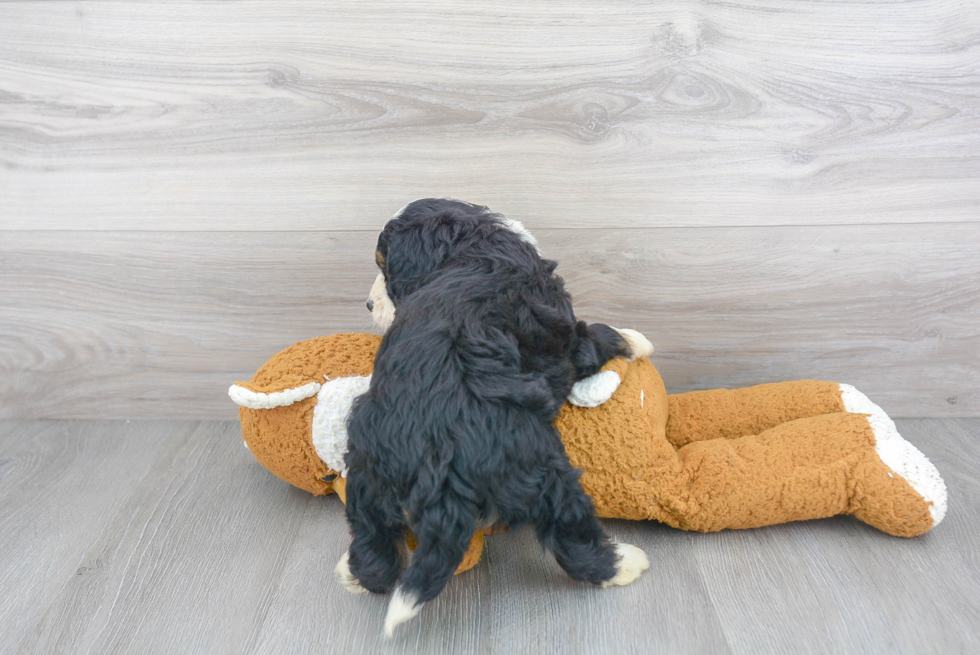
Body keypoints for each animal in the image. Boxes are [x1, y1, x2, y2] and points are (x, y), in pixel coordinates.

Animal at [336, 199, 652, 636]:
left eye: (387, 269)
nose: (368, 304)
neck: (476, 244)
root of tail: (435, 463)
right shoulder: (568, 340)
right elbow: (597, 336)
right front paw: (637, 340)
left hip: (365, 471)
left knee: (373, 546)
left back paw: (354, 574)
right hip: (538, 469)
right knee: (571, 533)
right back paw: (625, 564)